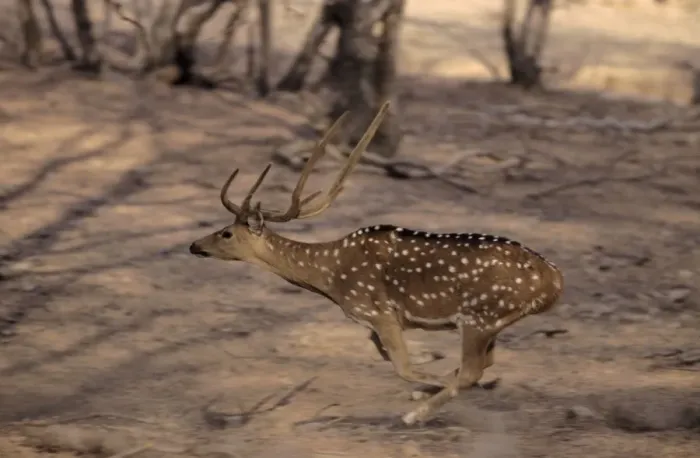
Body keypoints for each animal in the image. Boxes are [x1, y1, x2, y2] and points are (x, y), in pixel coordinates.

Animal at [189, 101, 564, 425]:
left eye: (226, 233)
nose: (194, 245)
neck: (329, 276)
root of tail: (554, 280)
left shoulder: (379, 312)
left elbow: (402, 366)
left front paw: (422, 393)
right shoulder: (374, 322)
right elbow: (385, 355)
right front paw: (432, 380)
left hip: (479, 316)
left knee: (472, 370)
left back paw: (416, 413)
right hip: (491, 323)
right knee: (485, 362)